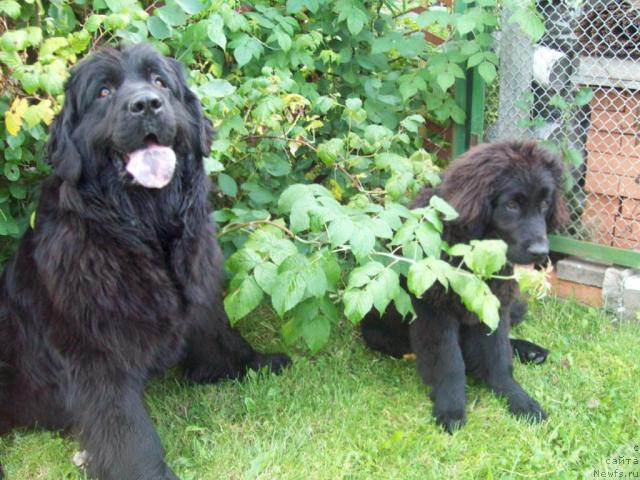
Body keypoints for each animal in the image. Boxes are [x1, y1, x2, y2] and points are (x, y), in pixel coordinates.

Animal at [0, 43, 290, 478]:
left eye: (159, 82)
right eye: (103, 92)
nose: (147, 104)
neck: (145, 230)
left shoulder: (199, 294)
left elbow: (219, 334)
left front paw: (254, 361)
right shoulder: (94, 349)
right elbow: (125, 427)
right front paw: (147, 472)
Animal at [362, 141, 568, 434]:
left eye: (544, 203)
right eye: (512, 204)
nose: (542, 253)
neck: (474, 250)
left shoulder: (494, 304)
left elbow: (498, 356)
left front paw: (517, 398)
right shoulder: (434, 311)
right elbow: (449, 362)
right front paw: (451, 409)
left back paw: (530, 350)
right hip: (381, 334)